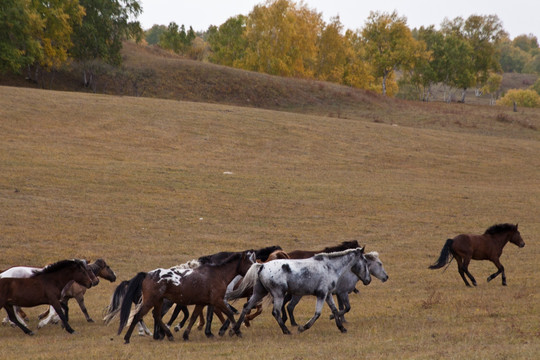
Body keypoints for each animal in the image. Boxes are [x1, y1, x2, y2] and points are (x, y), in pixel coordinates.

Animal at [118, 250, 255, 344]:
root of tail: (147, 274)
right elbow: (230, 314)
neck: (217, 274)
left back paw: (168, 335)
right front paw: (236, 331)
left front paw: (186, 335)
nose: (255, 274)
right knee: (138, 316)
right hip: (150, 301)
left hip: (158, 301)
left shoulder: (202, 303)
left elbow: (193, 318)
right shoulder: (218, 300)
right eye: (250, 264)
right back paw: (127, 338)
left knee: (156, 316)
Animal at [228, 246, 372, 336]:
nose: (368, 280)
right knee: (276, 312)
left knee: (246, 307)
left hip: (259, 292)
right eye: (365, 261)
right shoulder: (321, 294)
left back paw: (234, 330)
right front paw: (302, 328)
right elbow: (317, 313)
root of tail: (262, 265)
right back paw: (286, 331)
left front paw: (342, 328)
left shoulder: (328, 294)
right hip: (278, 294)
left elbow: (335, 310)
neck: (329, 266)